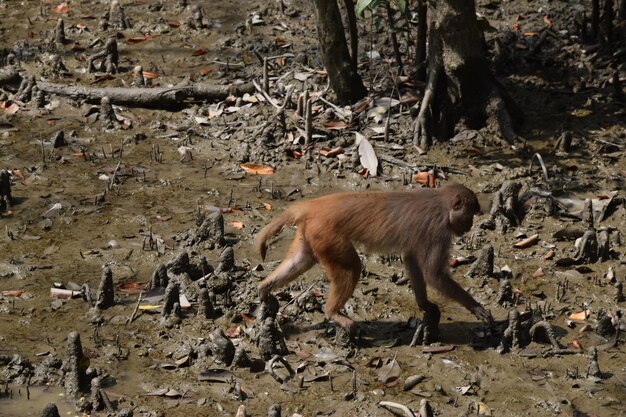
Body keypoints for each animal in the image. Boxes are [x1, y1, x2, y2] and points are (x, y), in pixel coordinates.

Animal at [255, 182, 492, 342]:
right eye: (470, 214)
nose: (469, 225)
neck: (441, 202)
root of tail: (314, 205)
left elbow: (411, 260)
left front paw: (425, 305)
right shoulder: (438, 230)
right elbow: (434, 274)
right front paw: (476, 307)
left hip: (313, 232)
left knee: (300, 260)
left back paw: (264, 288)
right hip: (328, 234)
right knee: (352, 268)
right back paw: (333, 313)